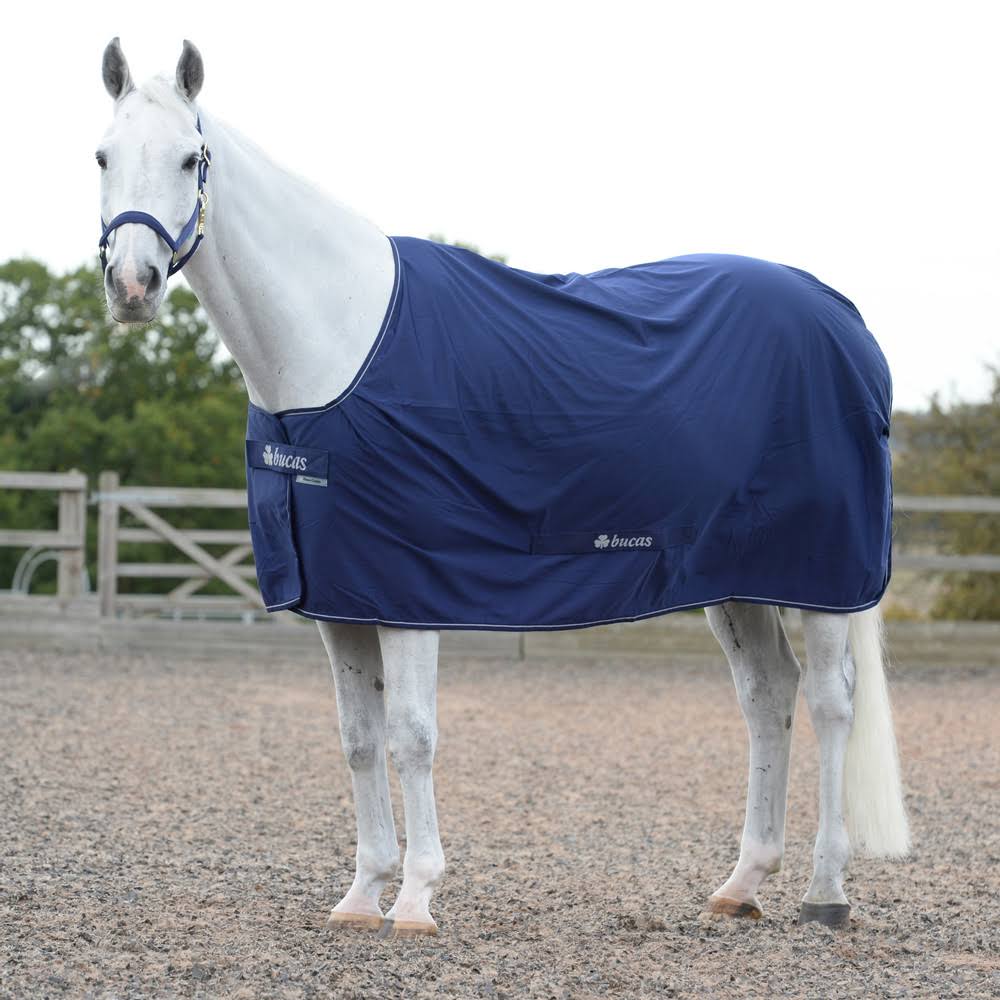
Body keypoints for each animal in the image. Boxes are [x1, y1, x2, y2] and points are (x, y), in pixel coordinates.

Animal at [95, 38, 909, 937]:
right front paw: (361, 895)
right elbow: (357, 738)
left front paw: (416, 898)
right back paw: (741, 883)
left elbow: (411, 734)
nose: (132, 286)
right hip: (737, 579)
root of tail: (845, 320)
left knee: (832, 703)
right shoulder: (339, 599)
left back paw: (825, 890)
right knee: (768, 695)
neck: (335, 343)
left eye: (190, 157)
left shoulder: (408, 591)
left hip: (823, 578)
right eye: (102, 155)